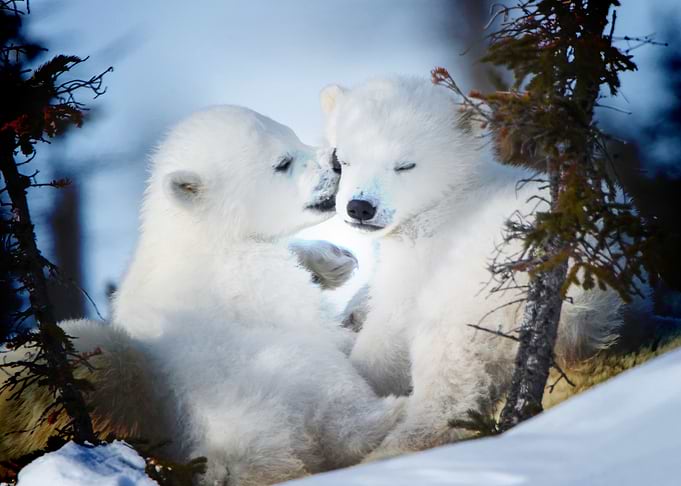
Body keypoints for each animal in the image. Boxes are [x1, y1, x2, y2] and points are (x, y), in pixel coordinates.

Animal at [0, 106, 405, 485]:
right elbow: (319, 325)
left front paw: (333, 259)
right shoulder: (249, 279)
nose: (336, 159)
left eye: (292, 135)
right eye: (282, 162)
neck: (200, 236)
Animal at [319, 77, 636, 457]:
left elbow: (390, 328)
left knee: (448, 375)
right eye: (343, 159)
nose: (360, 207)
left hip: (477, 294)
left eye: (406, 165)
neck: (450, 202)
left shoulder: (424, 260)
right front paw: (352, 309)